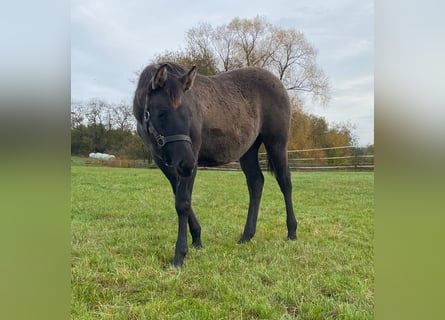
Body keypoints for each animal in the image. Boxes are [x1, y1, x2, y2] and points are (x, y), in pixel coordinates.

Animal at [134, 62, 296, 268]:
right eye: (162, 113)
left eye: (190, 114)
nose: (187, 164)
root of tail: (277, 82)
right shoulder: (164, 163)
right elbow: (180, 198)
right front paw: (197, 240)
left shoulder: (191, 156)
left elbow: (183, 202)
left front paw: (179, 255)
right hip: (248, 150)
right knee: (256, 183)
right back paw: (246, 236)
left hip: (277, 144)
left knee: (285, 182)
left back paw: (292, 232)